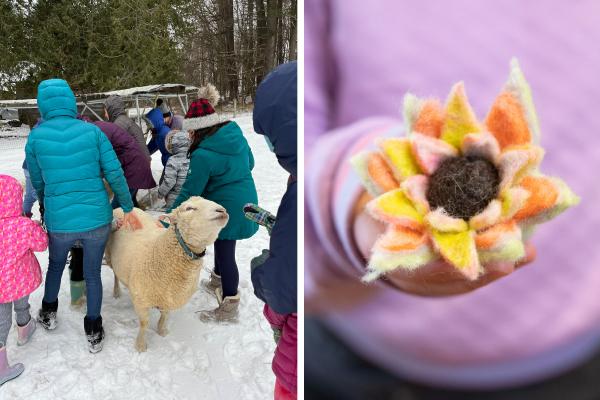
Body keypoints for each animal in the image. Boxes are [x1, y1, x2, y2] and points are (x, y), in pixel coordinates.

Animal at [104, 196, 229, 350]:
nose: (222, 210)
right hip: (109, 256)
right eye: (189, 208)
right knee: (115, 275)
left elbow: (165, 316)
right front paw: (141, 345)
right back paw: (116, 292)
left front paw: (162, 330)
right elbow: (144, 323)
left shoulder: (168, 297)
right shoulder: (141, 300)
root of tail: (120, 208)